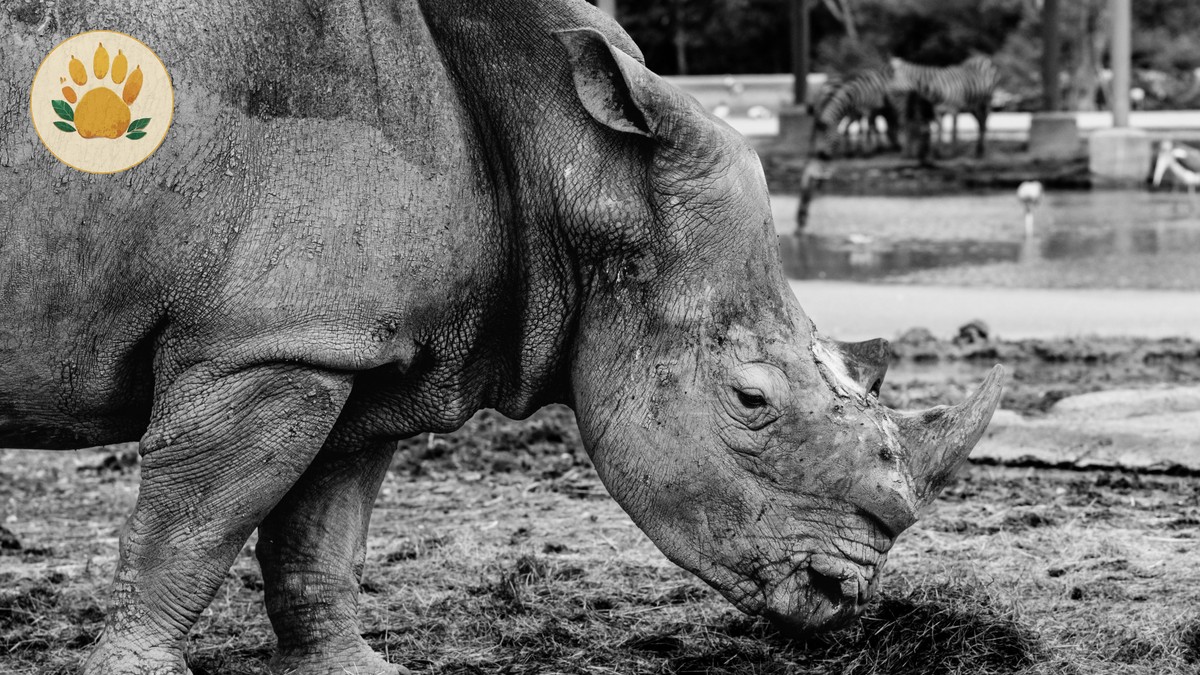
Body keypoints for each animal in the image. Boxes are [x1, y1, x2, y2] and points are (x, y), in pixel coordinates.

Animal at [0, 1, 1003, 673]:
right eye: (750, 399)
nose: (845, 593)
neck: (584, 161)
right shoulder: (269, 341)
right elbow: (192, 523)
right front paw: (134, 669)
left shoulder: (354, 343)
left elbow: (322, 527)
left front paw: (350, 670)